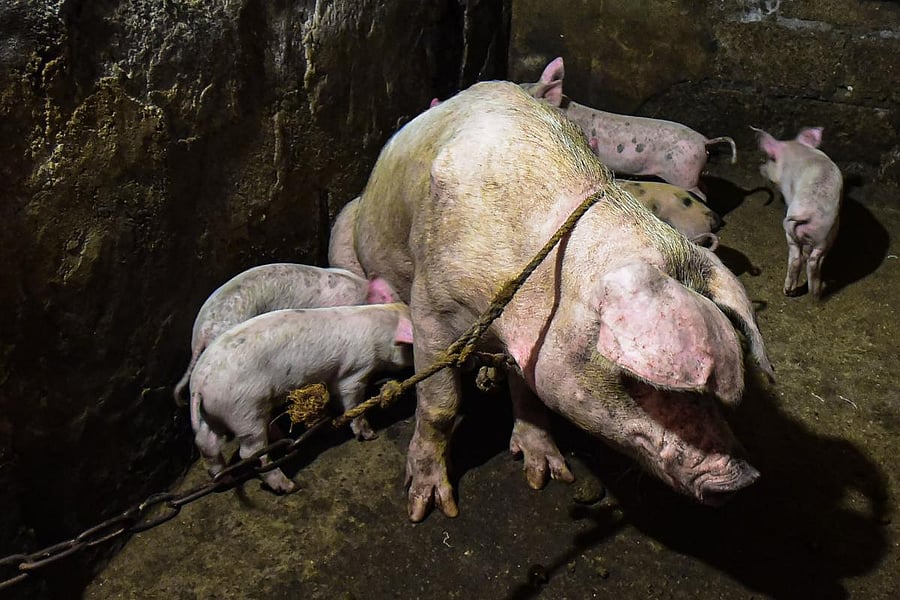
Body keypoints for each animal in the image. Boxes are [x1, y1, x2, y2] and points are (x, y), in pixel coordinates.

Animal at [190, 303, 415, 493]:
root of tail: (199, 383)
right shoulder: (355, 371)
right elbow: (354, 404)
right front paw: (370, 435)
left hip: (213, 414)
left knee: (206, 443)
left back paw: (225, 480)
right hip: (244, 410)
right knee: (250, 452)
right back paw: (289, 486)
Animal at [353, 80, 774, 521]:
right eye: (638, 382)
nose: (745, 479)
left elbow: (529, 392)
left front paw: (547, 475)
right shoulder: (431, 306)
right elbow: (440, 405)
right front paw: (430, 507)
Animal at [754, 126, 842, 298]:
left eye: (770, 158)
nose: (760, 168)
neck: (798, 149)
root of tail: (809, 213)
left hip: (792, 231)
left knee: (796, 259)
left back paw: (788, 291)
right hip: (827, 235)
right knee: (814, 261)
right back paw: (816, 293)